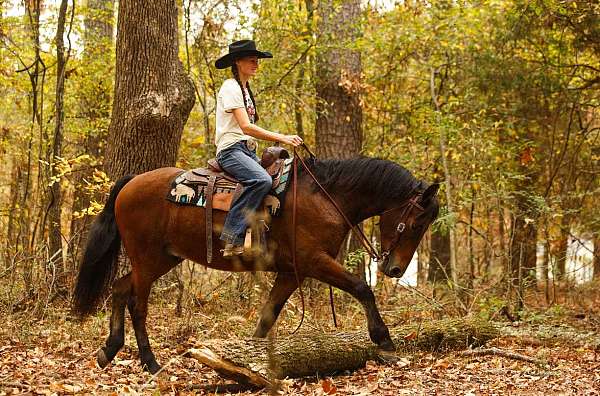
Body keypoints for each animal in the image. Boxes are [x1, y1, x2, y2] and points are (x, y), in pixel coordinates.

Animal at [71, 155, 440, 374]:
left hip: (162, 257)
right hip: (147, 258)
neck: (325, 197)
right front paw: (384, 339)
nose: (395, 269)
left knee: (120, 288)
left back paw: (109, 350)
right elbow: (362, 287)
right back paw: (150, 362)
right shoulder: (314, 261)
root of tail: (131, 182)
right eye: (417, 223)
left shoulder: (292, 272)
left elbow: (267, 316)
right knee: (138, 304)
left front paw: (250, 362)